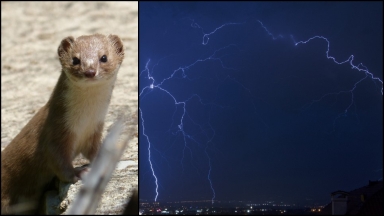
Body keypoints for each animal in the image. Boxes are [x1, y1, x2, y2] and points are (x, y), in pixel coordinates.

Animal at [0, 33, 124, 214]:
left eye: (104, 57)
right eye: (75, 59)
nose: (90, 72)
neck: (84, 119)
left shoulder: (95, 129)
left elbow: (95, 151)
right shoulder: (56, 130)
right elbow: (58, 161)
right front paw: (79, 173)